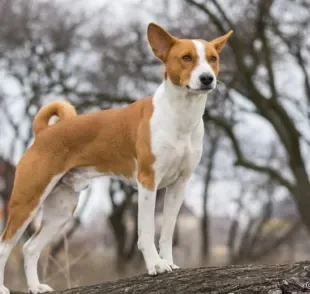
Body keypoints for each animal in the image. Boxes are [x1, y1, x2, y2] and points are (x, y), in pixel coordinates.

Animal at [0, 23, 232, 294]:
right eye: (186, 57)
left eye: (213, 59)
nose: (207, 78)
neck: (181, 116)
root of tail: (43, 132)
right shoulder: (148, 181)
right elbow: (146, 230)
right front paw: (155, 265)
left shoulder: (179, 184)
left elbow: (167, 232)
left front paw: (170, 264)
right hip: (27, 200)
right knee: (5, 245)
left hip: (62, 208)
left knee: (30, 248)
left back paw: (36, 287)